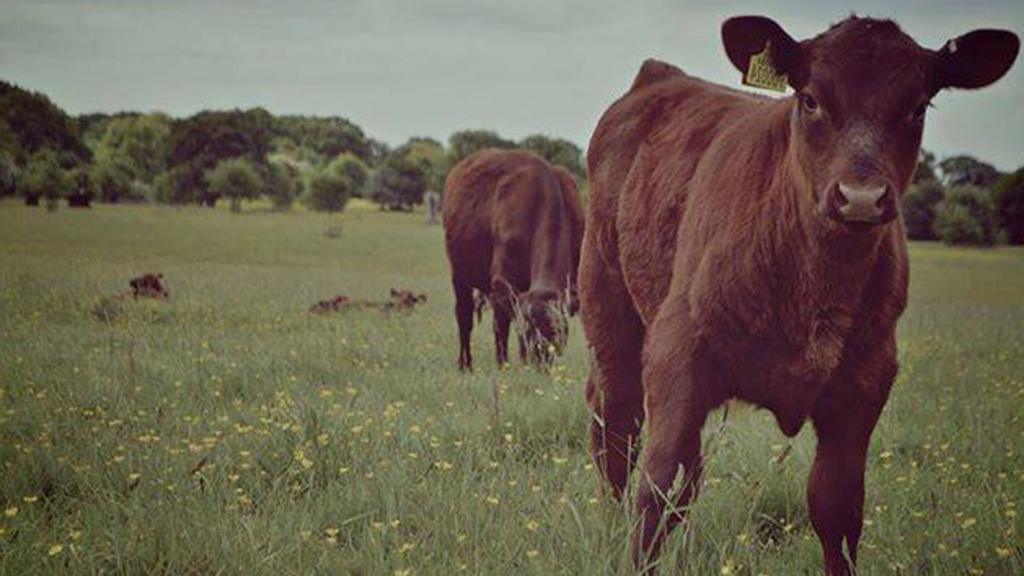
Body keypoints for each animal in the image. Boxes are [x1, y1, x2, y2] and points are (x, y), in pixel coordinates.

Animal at [442, 147, 585, 368]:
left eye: (558, 331)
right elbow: (506, 326)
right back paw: (466, 364)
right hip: (460, 275)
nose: (541, 364)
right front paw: (512, 361)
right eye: (529, 330)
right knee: (464, 316)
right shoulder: (502, 281)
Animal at [581, 15, 1019, 569]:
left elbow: (836, 508)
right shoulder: (676, 351)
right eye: (809, 98)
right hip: (608, 304)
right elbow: (655, 490)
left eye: (918, 106)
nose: (861, 197)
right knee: (616, 426)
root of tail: (660, 78)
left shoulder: (865, 382)